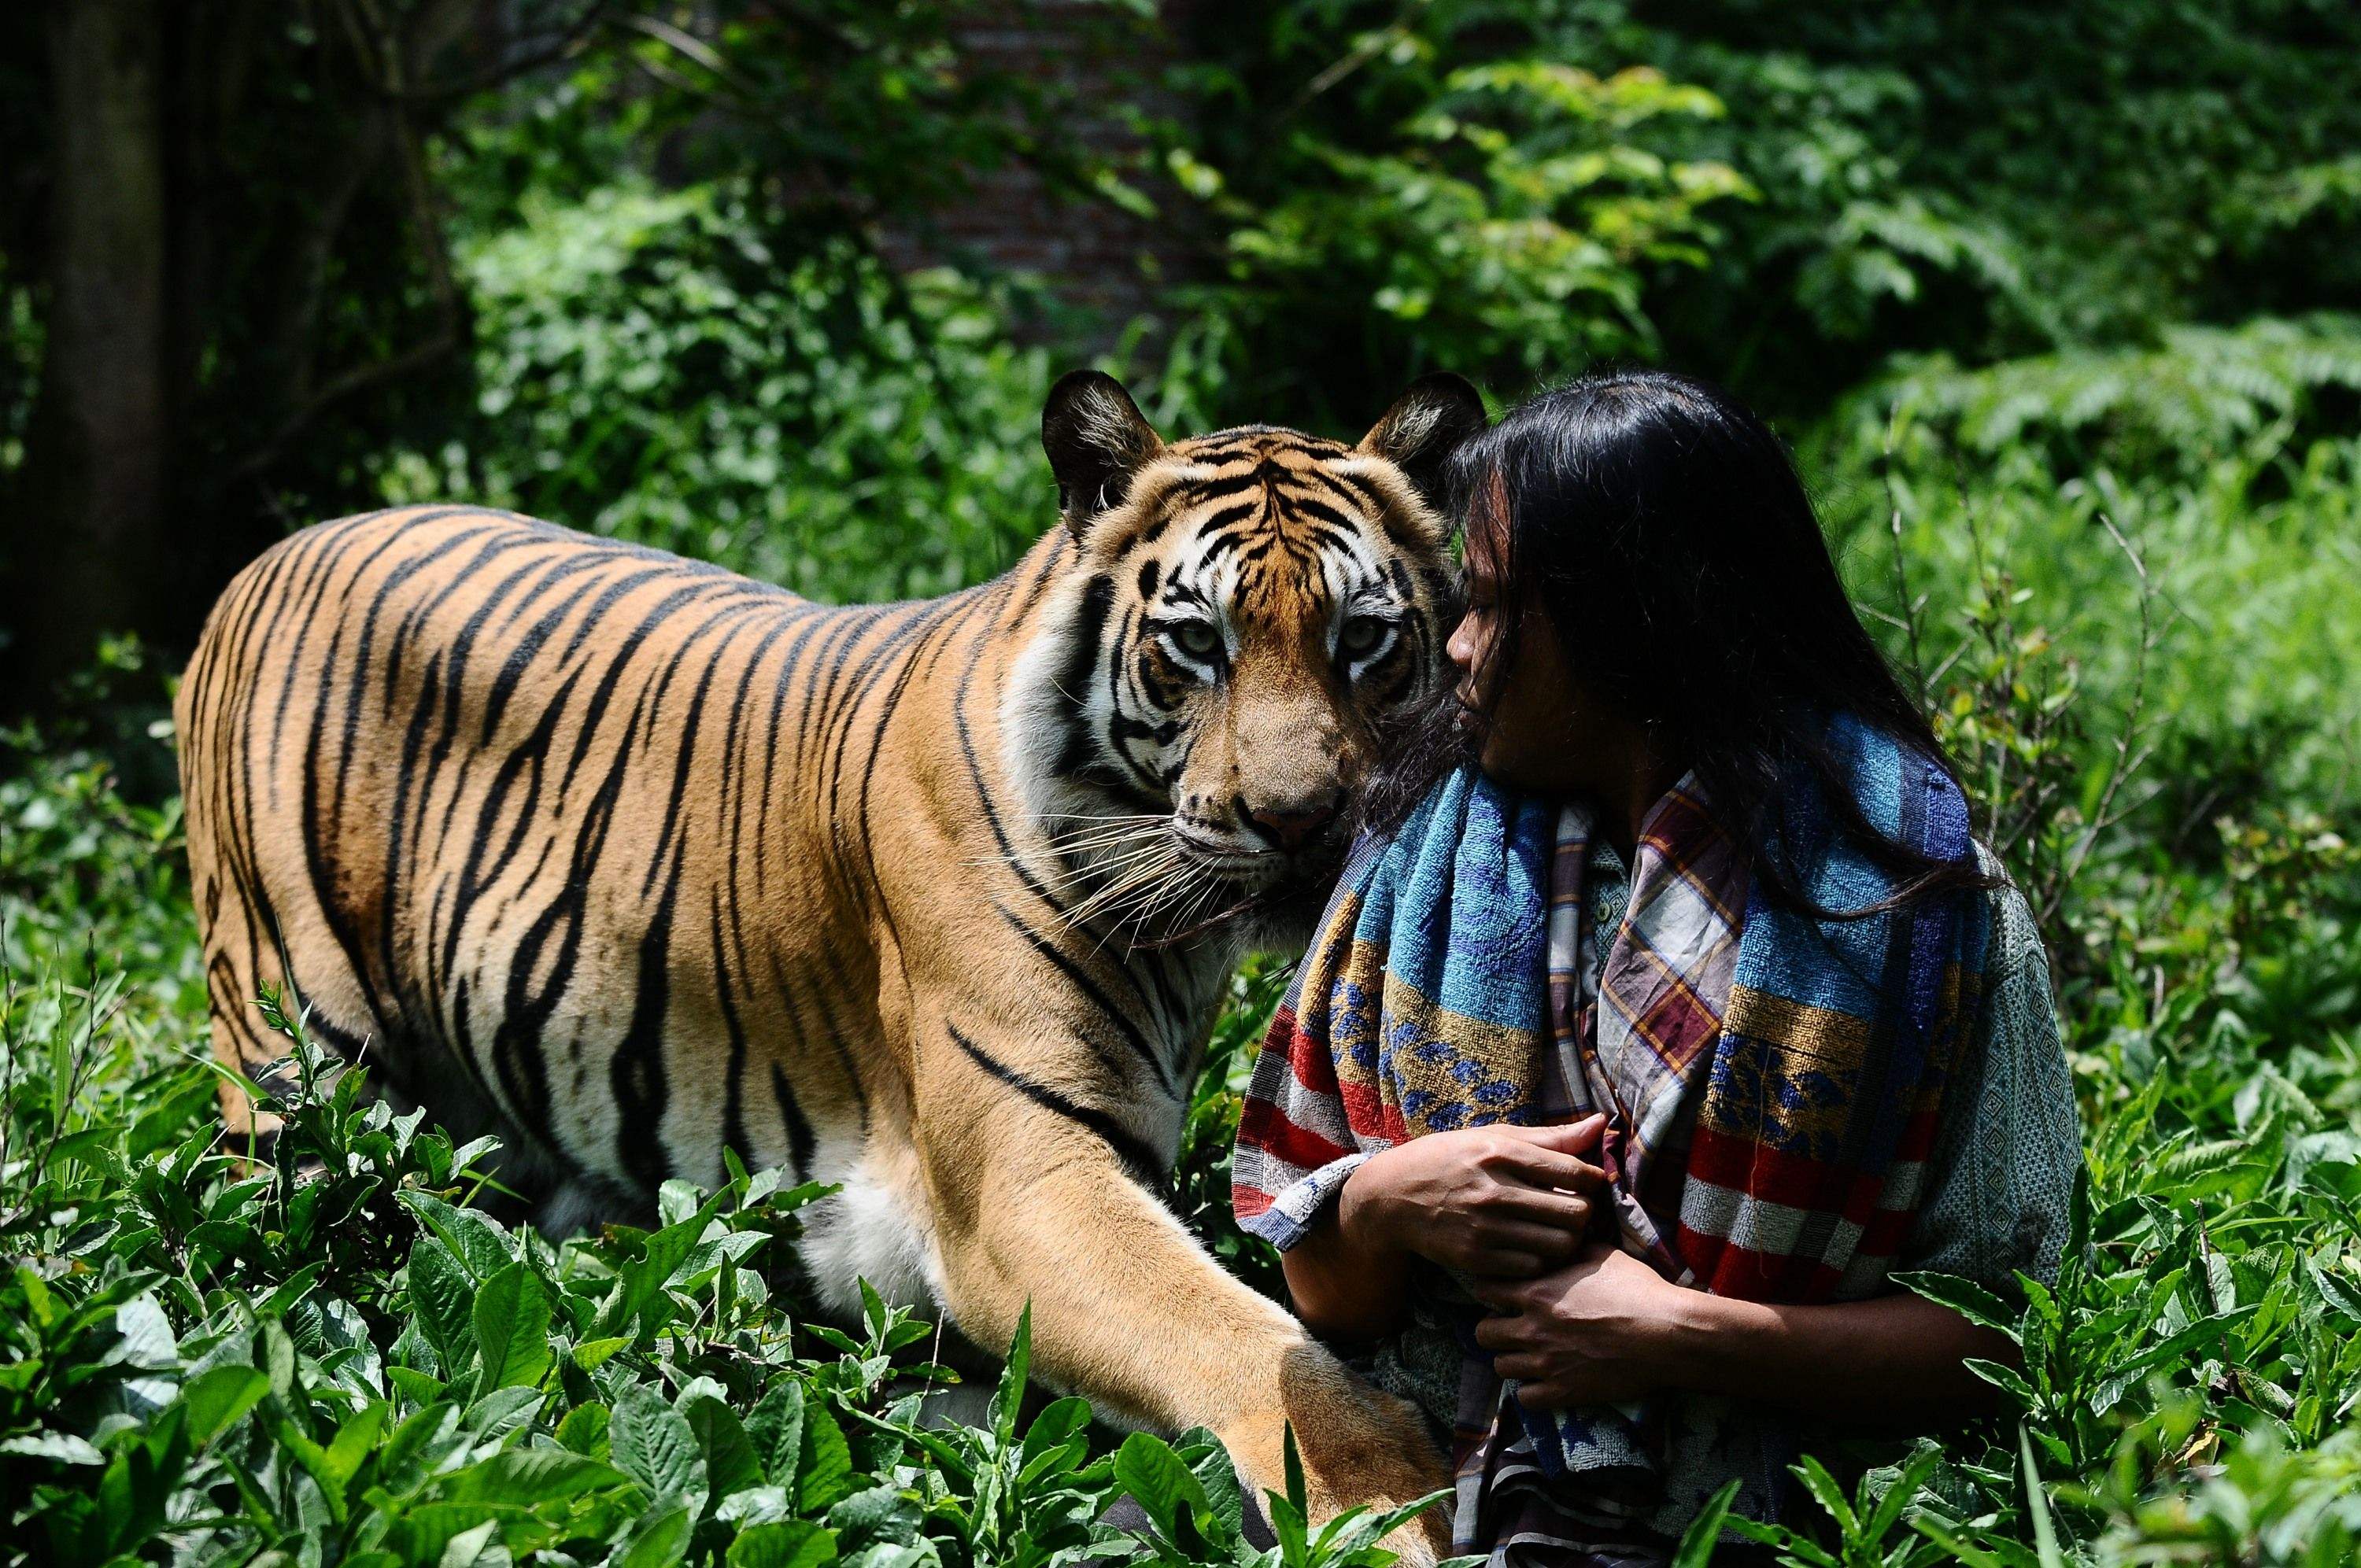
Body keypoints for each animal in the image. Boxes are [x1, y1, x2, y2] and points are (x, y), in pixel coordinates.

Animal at [175, 371, 1483, 1558]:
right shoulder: (1028, 1184)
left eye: (1366, 640)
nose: (1303, 821)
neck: (1186, 937)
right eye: (1197, 644)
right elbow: (1240, 1342)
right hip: (293, 1064)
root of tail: (265, 557)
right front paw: (1393, 1505)